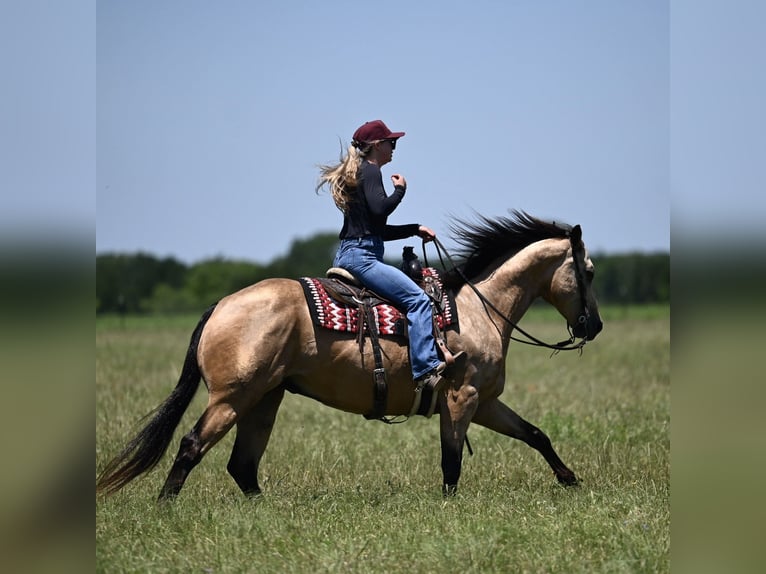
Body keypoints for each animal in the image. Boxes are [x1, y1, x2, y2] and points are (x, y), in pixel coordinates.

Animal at [96, 210, 603, 500]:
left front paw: (571, 480)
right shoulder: (462, 399)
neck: (479, 310)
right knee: (191, 446)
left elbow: (535, 435)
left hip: (264, 399)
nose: (593, 326)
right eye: (590, 271)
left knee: (242, 465)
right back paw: (165, 509)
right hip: (231, 398)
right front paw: (448, 507)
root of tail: (220, 306)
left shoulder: (486, 403)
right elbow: (451, 461)